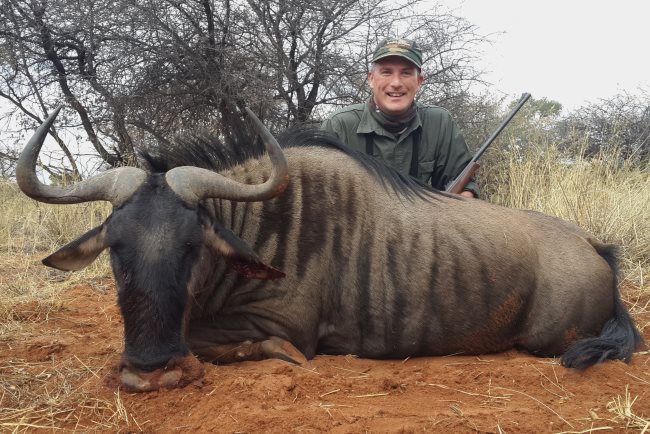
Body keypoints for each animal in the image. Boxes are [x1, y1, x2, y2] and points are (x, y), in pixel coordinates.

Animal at [17, 106, 644, 392]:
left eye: (193, 244)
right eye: (115, 247)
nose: (150, 371)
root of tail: (595, 247)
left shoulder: (282, 324)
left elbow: (227, 343)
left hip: (549, 340)